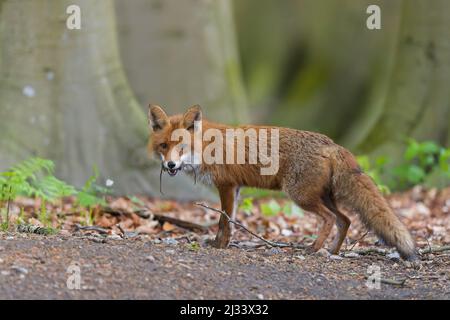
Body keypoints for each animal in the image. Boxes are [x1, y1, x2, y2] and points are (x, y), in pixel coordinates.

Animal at [148, 104, 418, 262]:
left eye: (182, 148)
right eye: (164, 146)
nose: (170, 165)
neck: (206, 146)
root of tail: (331, 143)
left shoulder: (226, 185)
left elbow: (224, 221)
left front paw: (219, 245)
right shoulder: (236, 188)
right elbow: (231, 221)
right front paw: (223, 243)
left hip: (300, 196)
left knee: (330, 219)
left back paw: (313, 249)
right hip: (323, 196)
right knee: (346, 220)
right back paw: (332, 252)